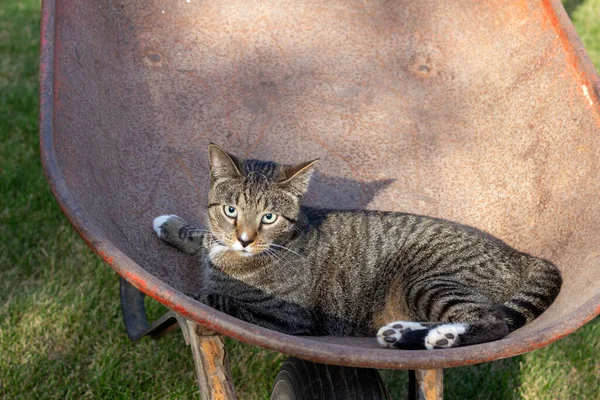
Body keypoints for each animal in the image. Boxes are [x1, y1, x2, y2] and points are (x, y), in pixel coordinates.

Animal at [152, 145, 560, 350]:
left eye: (268, 217)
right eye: (231, 210)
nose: (245, 238)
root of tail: (522, 256)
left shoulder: (285, 316)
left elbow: (213, 299)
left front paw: (192, 294)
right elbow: (202, 237)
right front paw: (170, 225)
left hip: (428, 279)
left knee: (492, 321)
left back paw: (440, 337)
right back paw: (402, 333)